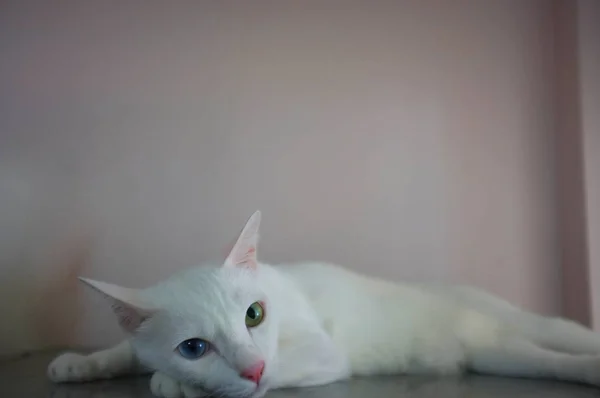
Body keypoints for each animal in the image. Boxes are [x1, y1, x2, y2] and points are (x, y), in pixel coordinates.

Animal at [49, 210, 600, 396]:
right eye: (194, 346)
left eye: (254, 315)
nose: (251, 368)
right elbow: (125, 349)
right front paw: (80, 363)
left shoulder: (322, 353)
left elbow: (278, 367)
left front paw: (175, 384)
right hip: (496, 354)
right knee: (543, 359)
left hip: (520, 329)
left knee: (563, 341)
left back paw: (588, 363)